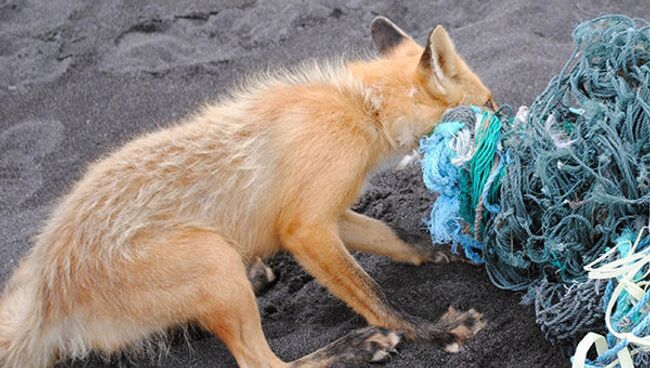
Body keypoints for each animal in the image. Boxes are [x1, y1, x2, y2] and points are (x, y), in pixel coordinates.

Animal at [0, 16, 492, 368]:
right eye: (488, 104)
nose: (505, 113)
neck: (361, 107)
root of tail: (45, 288)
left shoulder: (324, 213)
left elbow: (397, 237)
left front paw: (450, 247)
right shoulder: (305, 229)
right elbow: (375, 297)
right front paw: (433, 333)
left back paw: (253, 280)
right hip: (212, 258)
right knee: (262, 363)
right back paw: (353, 348)